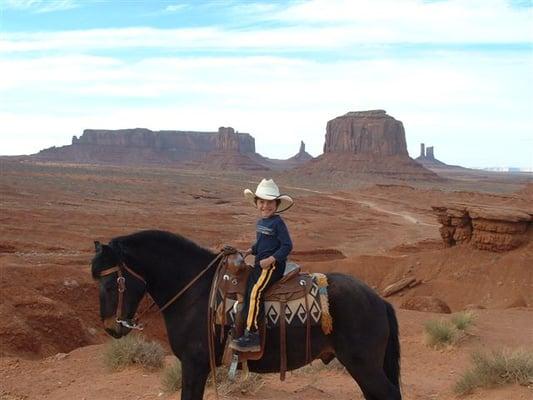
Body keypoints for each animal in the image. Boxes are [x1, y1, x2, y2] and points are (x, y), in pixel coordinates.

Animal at [91, 230, 400, 398]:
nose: (111, 327)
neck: (195, 290)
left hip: (364, 364)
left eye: (112, 282)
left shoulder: (194, 364)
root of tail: (379, 301)